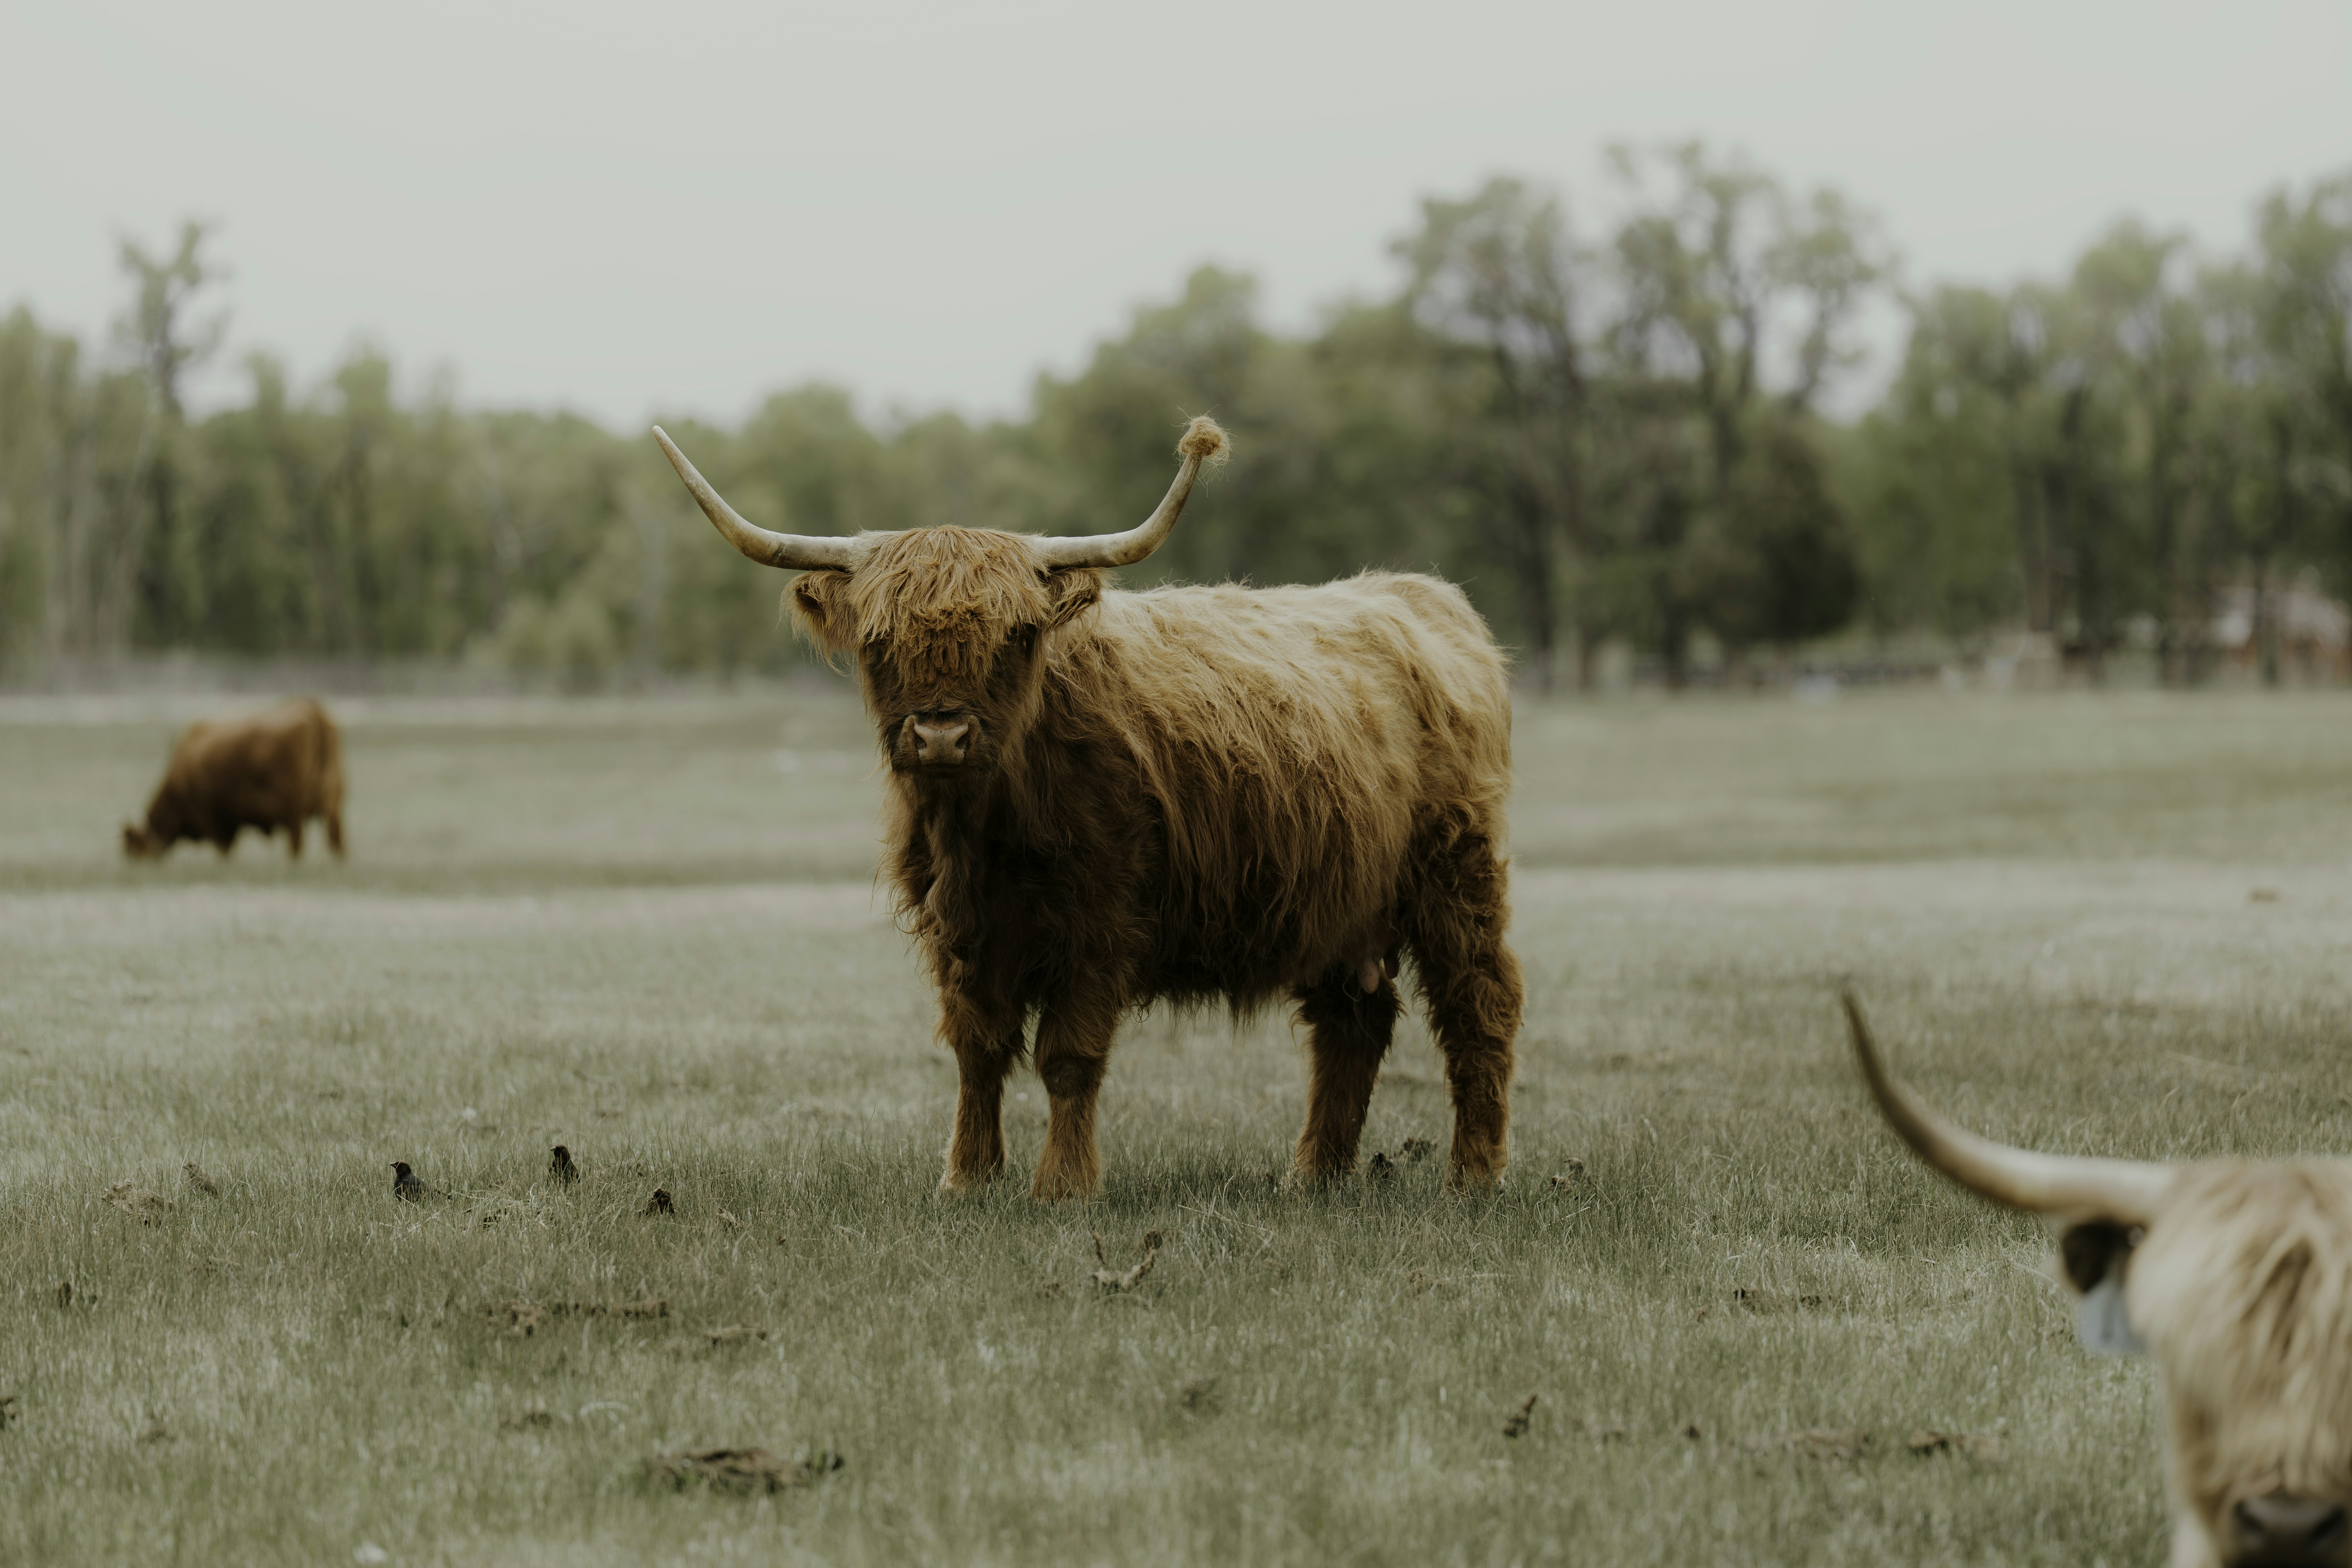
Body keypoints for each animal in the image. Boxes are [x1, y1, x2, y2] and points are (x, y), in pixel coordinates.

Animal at [122, 697, 347, 862]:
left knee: (297, 846)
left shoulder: (207, 815)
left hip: (294, 812)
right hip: (332, 805)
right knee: (337, 841)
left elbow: (223, 850)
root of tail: (312, 709)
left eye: (133, 847)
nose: (129, 866)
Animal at [654, 416, 1521, 1199]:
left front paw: (1064, 1186)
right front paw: (967, 1179)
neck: (984, 828)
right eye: (877, 641)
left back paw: (1473, 1174)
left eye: (1015, 634)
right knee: (1352, 1022)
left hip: (1456, 872)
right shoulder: (959, 928)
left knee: (1479, 1006)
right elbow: (978, 1049)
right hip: (1338, 900)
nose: (941, 734)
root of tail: (1421, 594)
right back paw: (1314, 1175)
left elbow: (1066, 1057)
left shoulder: (1102, 920)